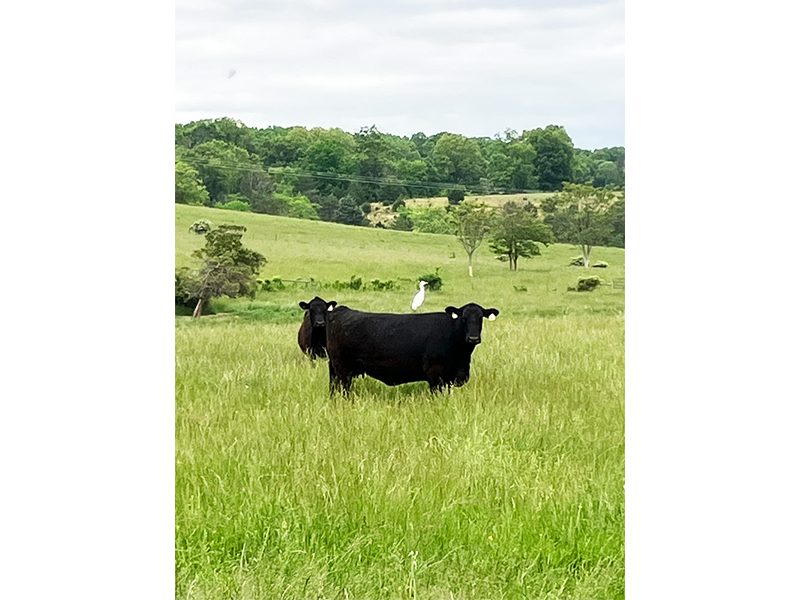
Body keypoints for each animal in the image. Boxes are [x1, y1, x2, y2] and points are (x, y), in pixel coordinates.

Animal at [326, 303, 499, 393]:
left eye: (480, 318)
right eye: (464, 318)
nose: (473, 338)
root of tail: (342, 310)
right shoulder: (435, 374)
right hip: (343, 368)